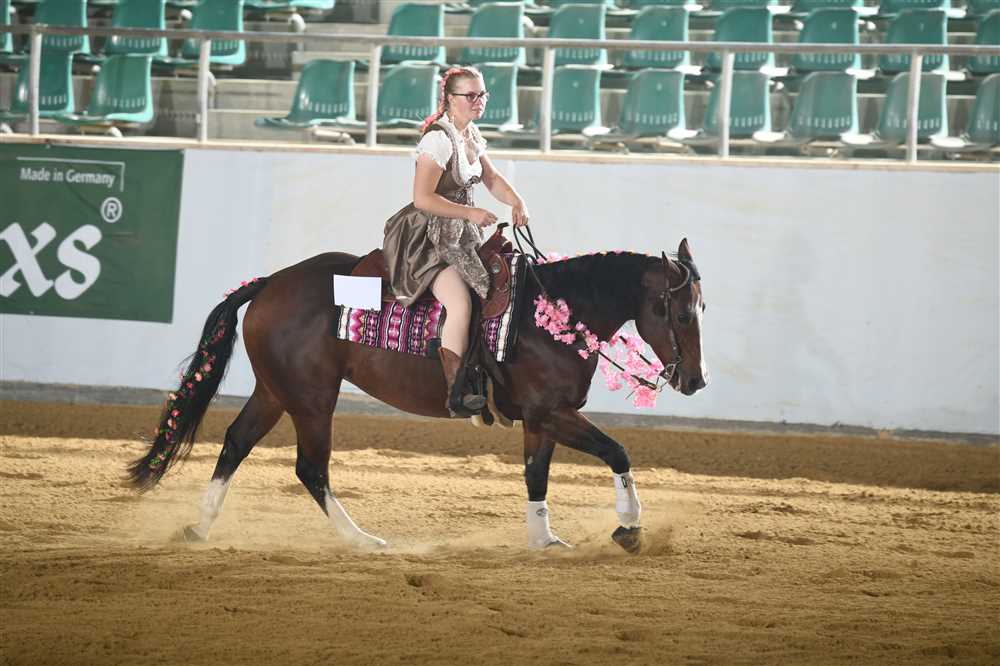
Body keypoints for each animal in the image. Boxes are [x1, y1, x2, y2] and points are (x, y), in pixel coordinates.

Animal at [127, 236, 708, 553]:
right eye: (681, 313)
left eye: (702, 309)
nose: (695, 382)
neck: (553, 316)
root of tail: (270, 282)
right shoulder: (552, 412)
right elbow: (618, 451)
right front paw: (629, 528)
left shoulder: (541, 419)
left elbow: (535, 477)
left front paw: (544, 540)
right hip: (312, 399)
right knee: (310, 468)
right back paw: (362, 540)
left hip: (274, 391)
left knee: (234, 443)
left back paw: (199, 528)